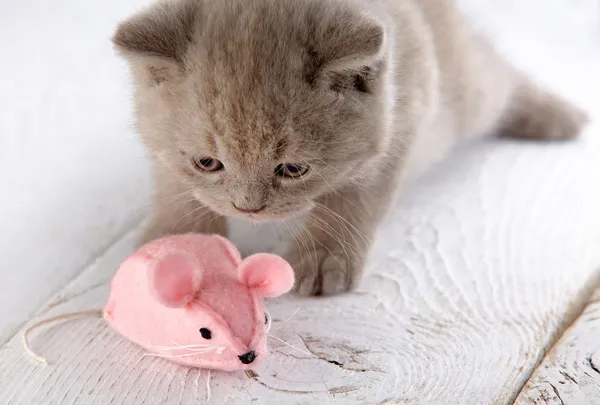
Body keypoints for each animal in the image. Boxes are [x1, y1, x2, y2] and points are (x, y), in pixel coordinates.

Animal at [112, 0, 584, 296]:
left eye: (293, 169)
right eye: (207, 162)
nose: (248, 209)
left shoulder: (405, 113)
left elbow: (354, 196)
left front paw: (324, 257)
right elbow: (175, 188)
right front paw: (180, 246)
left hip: (468, 91)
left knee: (501, 75)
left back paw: (557, 116)